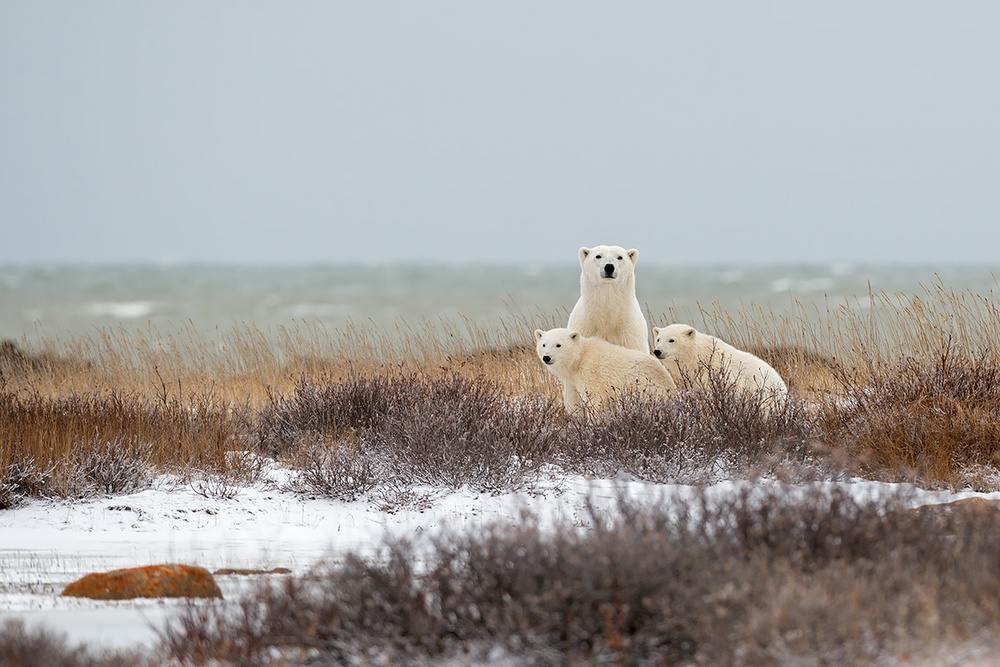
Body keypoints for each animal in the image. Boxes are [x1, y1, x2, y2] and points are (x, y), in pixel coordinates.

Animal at [536, 328, 676, 418]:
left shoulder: (592, 375)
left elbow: (595, 401)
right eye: (543, 344)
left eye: (558, 345)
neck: (580, 357)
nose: (546, 357)